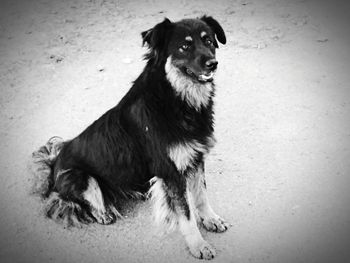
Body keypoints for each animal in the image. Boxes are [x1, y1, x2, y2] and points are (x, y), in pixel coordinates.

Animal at [31, 16, 228, 260]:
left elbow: (201, 195)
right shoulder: (170, 171)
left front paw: (210, 219)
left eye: (208, 40)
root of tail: (53, 163)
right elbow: (186, 214)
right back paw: (103, 213)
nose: (213, 63)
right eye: (184, 46)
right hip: (78, 176)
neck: (173, 97)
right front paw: (198, 245)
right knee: (75, 200)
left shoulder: (195, 157)